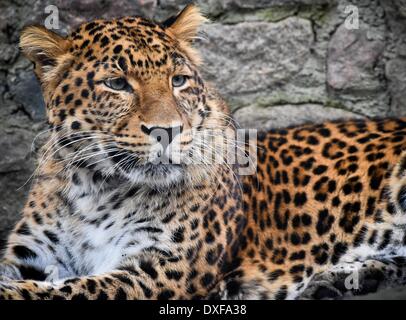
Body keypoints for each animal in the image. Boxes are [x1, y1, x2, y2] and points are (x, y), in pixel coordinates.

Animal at [0, 4, 406, 300]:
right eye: (116, 84)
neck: (97, 189)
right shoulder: (32, 255)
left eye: (178, 80)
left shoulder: (163, 271)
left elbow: (66, 291)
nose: (168, 130)